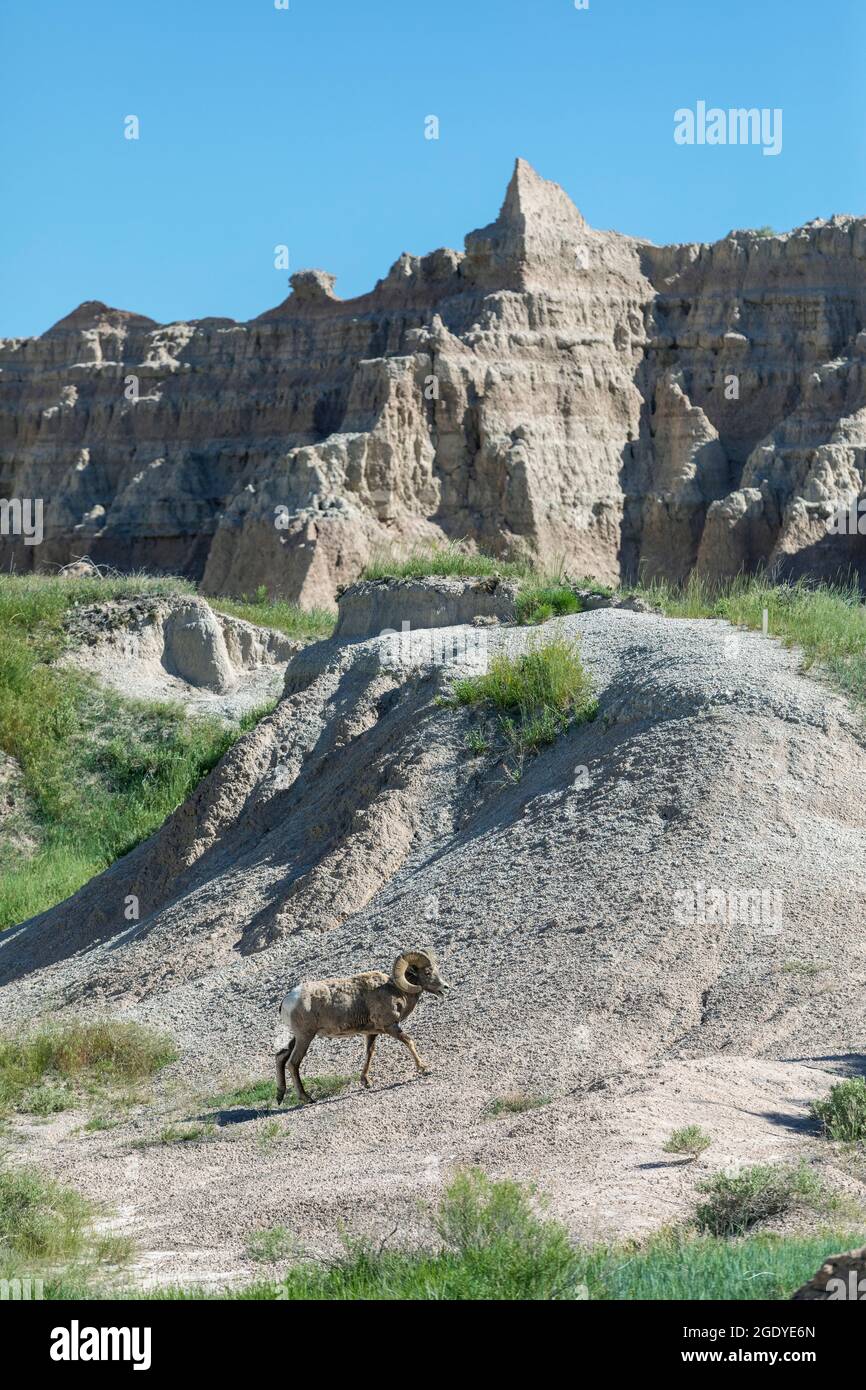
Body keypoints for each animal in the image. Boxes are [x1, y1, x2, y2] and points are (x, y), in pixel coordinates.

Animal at [275, 949, 449, 1104]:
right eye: (427, 972)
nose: (445, 987)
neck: (396, 991)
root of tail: (287, 1000)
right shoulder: (391, 1026)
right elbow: (409, 1041)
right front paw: (424, 1068)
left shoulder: (371, 1033)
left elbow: (369, 1053)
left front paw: (366, 1082)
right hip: (305, 1037)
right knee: (293, 1063)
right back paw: (307, 1098)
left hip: (299, 1037)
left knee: (281, 1056)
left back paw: (280, 1096)